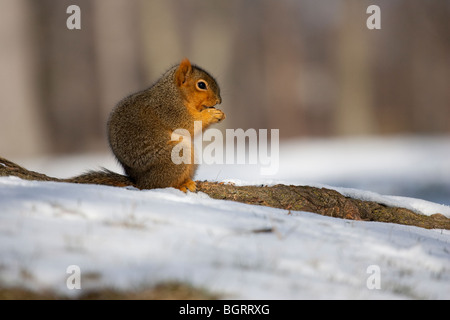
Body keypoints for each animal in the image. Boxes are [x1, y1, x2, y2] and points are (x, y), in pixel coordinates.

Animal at [0, 58, 225, 191]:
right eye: (201, 85)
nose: (219, 101)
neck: (174, 93)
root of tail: (139, 181)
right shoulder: (169, 110)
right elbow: (188, 124)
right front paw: (211, 115)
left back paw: (187, 182)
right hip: (175, 156)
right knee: (157, 185)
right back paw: (178, 186)